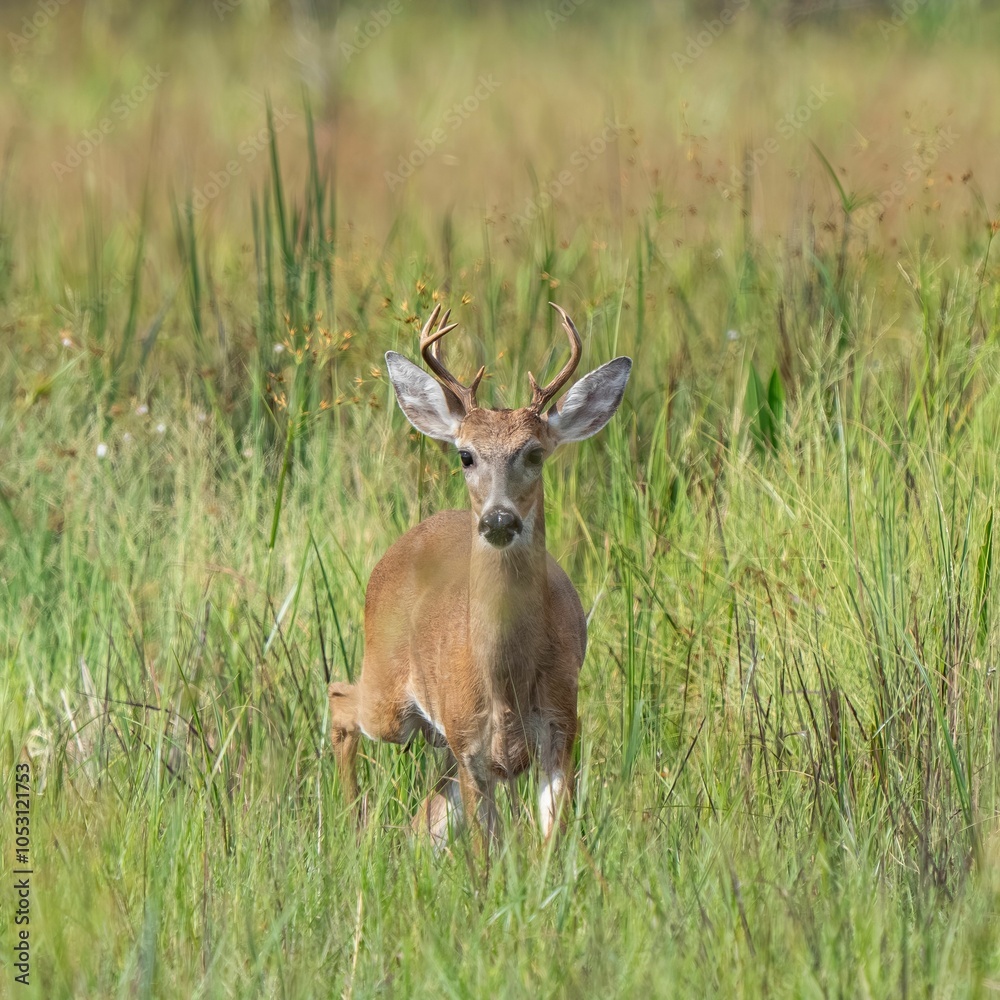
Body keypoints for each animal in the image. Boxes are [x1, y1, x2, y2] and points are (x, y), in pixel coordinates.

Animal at [328, 302, 631, 845]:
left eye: (535, 453)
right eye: (465, 455)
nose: (498, 519)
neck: (506, 683)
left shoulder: (562, 727)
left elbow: (552, 839)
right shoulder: (469, 742)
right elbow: (485, 850)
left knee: (428, 805)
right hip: (389, 691)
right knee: (339, 699)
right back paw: (353, 828)